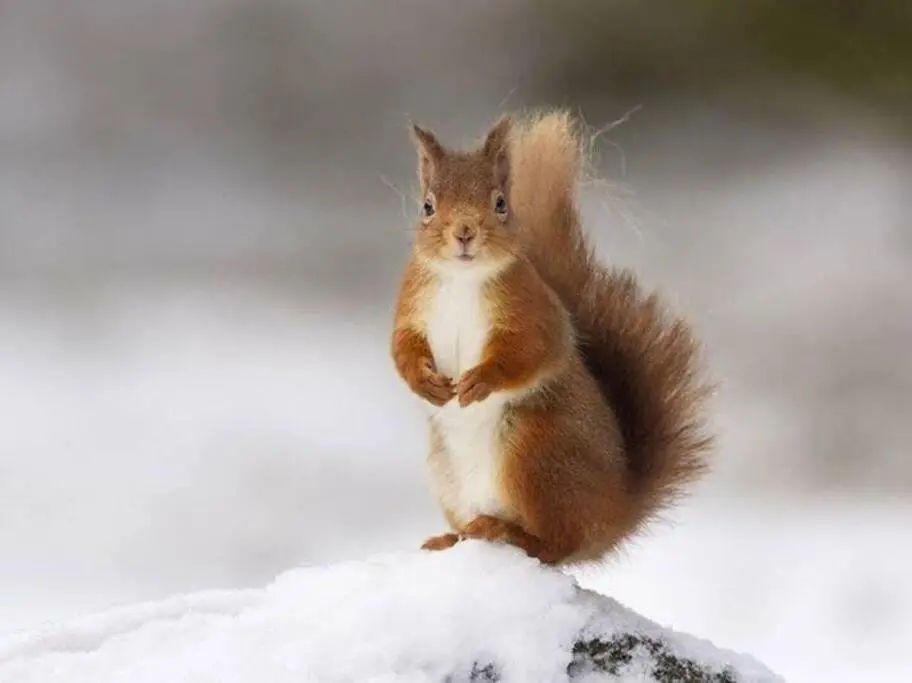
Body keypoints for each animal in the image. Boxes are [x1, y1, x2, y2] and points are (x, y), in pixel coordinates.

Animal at [390, 109, 713, 565]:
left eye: (500, 204)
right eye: (428, 206)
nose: (465, 233)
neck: (462, 278)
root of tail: (613, 514)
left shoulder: (535, 313)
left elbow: (530, 352)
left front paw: (481, 381)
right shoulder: (411, 305)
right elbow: (402, 346)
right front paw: (424, 381)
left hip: (536, 452)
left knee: (557, 544)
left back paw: (506, 533)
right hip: (447, 472)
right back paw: (454, 537)